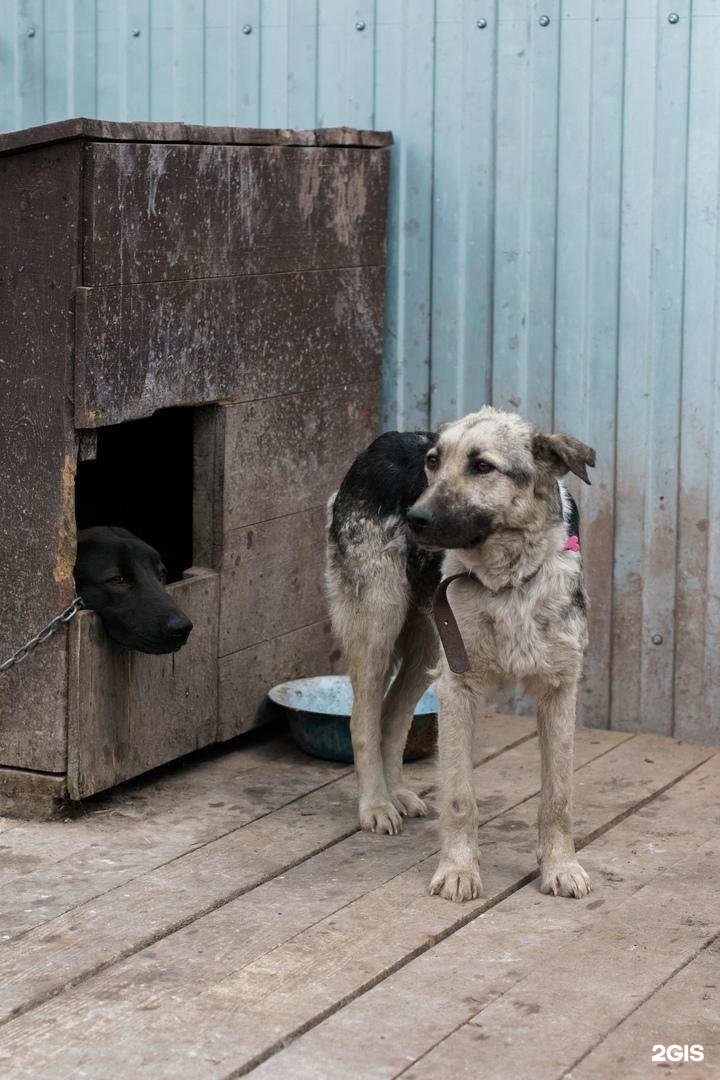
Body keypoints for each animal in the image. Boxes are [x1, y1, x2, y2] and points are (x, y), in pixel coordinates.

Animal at [325, 406, 595, 902]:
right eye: (433, 462)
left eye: (482, 466)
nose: (415, 517)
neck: (508, 580)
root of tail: (381, 441)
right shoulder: (458, 687)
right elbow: (458, 795)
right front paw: (458, 870)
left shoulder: (559, 688)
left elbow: (558, 796)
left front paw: (561, 867)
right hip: (378, 625)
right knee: (363, 718)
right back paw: (376, 803)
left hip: (428, 646)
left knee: (392, 716)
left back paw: (397, 793)